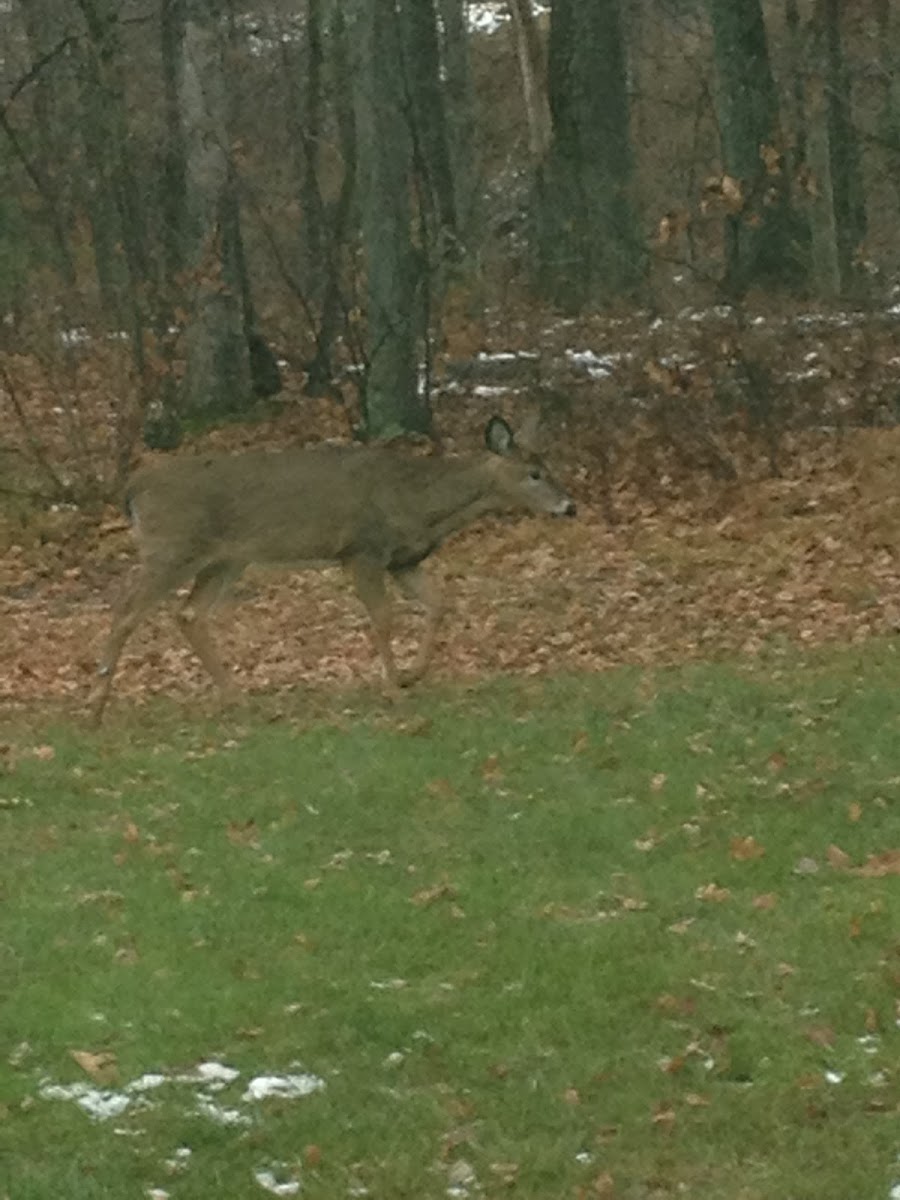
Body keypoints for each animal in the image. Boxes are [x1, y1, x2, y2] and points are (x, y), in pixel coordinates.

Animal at [88, 415, 573, 720]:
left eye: (548, 466)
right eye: (533, 473)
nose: (570, 506)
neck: (421, 501)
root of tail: (132, 488)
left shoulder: (403, 560)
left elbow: (439, 604)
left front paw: (411, 675)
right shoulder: (363, 550)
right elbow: (383, 618)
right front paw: (393, 686)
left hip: (225, 559)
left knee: (188, 614)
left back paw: (235, 698)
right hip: (172, 548)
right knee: (125, 609)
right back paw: (96, 706)